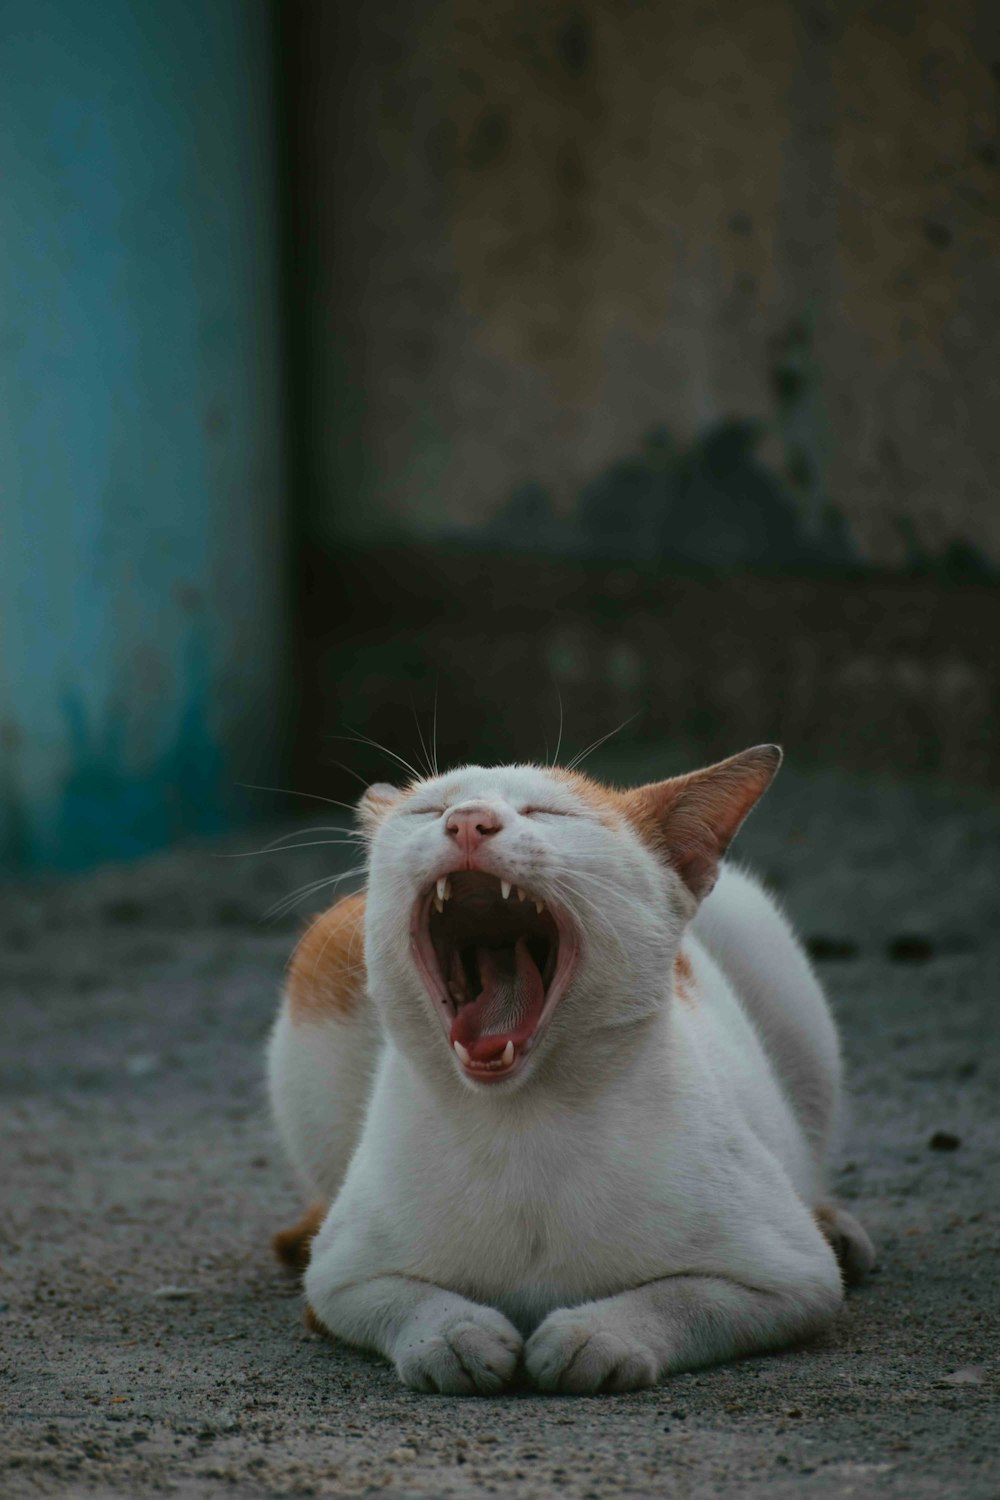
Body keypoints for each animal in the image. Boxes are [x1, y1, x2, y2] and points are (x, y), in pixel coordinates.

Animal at [268, 747, 875, 1392]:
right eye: (430, 809)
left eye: (549, 812)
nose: (469, 821)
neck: (521, 1124)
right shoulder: (339, 1277)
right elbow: (396, 1298)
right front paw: (453, 1335)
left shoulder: (791, 1278)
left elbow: (684, 1297)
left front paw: (597, 1335)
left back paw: (833, 1221)